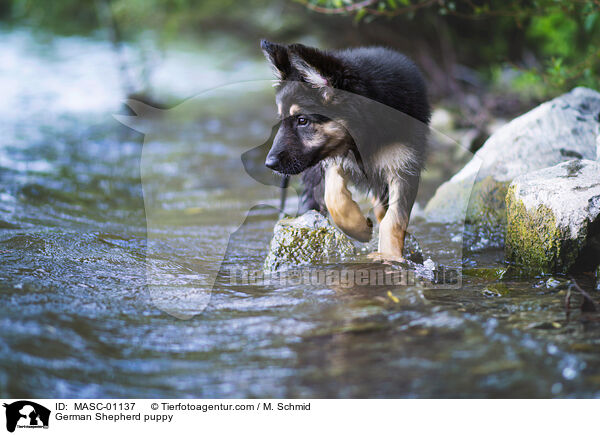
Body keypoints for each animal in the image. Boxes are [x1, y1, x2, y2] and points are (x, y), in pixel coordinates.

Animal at [260, 40, 428, 258]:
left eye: (302, 120)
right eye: (281, 120)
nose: (269, 164)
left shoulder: (404, 166)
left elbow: (394, 219)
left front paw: (389, 256)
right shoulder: (333, 158)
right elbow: (334, 197)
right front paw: (359, 227)